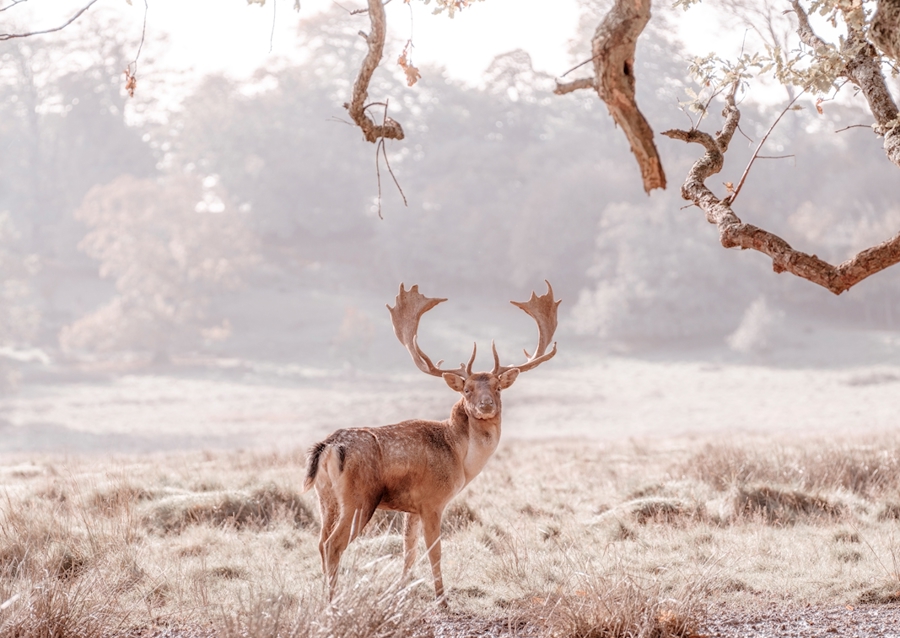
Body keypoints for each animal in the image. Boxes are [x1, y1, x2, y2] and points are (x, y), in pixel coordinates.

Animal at [301, 281, 560, 606]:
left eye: (498, 387)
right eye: (467, 389)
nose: (486, 404)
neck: (460, 458)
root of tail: (328, 447)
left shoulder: (411, 507)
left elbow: (408, 551)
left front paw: (400, 592)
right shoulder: (432, 500)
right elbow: (434, 550)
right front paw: (441, 598)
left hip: (325, 497)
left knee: (320, 541)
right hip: (359, 498)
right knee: (333, 544)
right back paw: (334, 601)